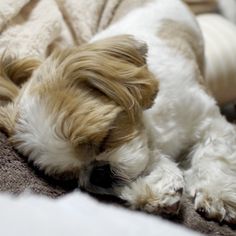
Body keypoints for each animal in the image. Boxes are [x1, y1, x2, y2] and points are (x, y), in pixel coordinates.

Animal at [0, 0, 236, 224]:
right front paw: (154, 190)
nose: (99, 174)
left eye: (105, 138)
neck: (151, 129)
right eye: (69, 176)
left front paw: (217, 194)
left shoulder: (208, 120)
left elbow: (215, 154)